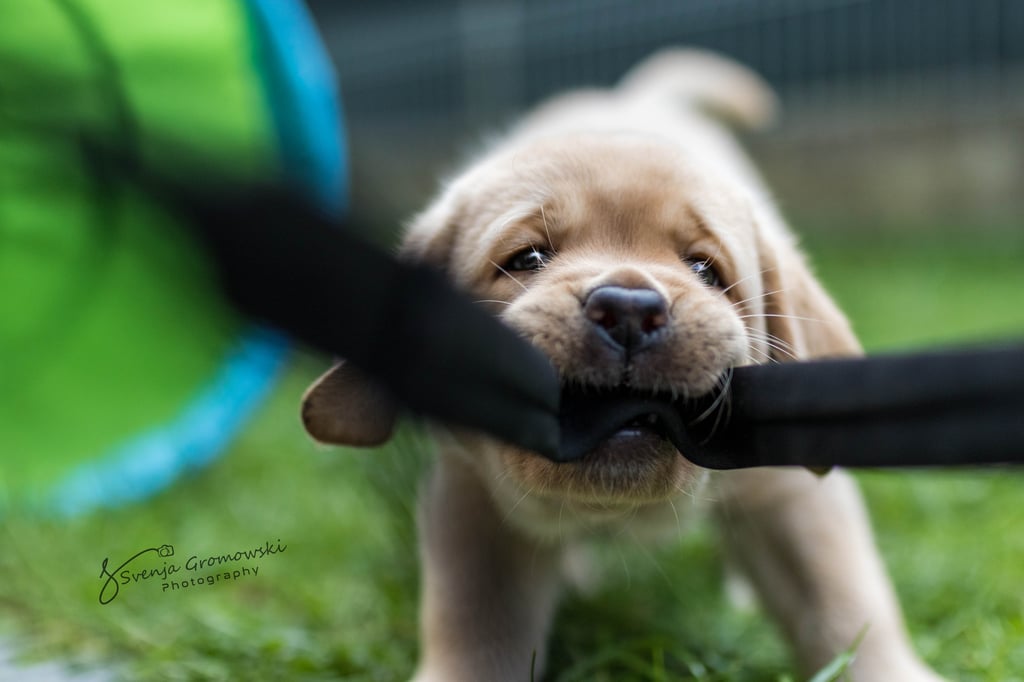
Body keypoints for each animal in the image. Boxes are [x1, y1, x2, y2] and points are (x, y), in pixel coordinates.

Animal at [302, 50, 943, 681]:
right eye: (526, 258)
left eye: (705, 270)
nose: (630, 310)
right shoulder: (472, 497)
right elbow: (477, 623)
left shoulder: (792, 492)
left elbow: (841, 599)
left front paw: (889, 672)